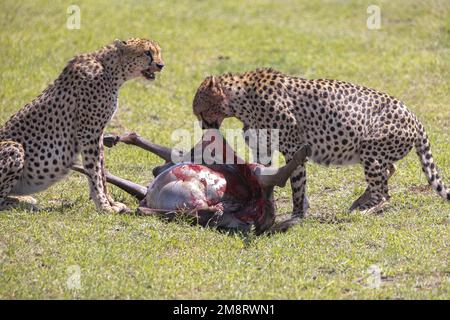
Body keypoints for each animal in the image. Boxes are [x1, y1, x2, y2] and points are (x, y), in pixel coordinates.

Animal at [0, 38, 164, 212]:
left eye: (158, 51)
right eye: (147, 52)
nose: (161, 65)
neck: (111, 70)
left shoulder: (98, 134)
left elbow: (101, 171)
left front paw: (111, 202)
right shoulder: (89, 134)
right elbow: (95, 173)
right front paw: (104, 207)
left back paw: (24, 198)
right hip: (14, 147)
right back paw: (23, 203)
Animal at [192, 68, 448, 228]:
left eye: (200, 111)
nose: (203, 127)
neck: (240, 101)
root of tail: (414, 116)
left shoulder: (293, 148)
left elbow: (297, 185)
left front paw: (296, 215)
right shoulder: (263, 151)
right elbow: (264, 178)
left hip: (369, 148)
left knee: (384, 193)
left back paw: (365, 209)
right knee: (390, 170)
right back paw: (360, 200)